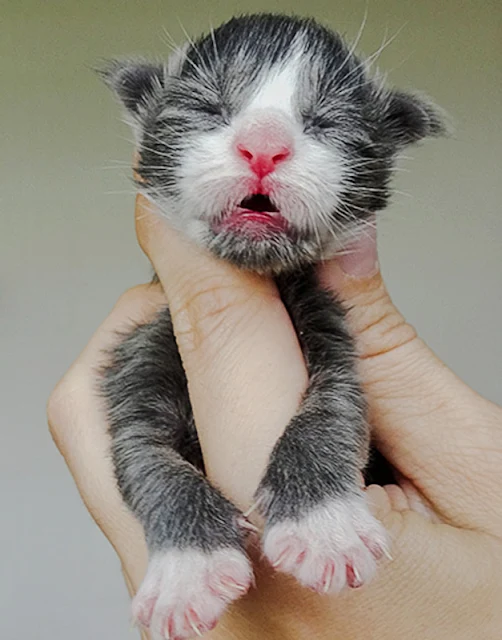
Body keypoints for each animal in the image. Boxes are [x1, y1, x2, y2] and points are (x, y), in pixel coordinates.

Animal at [99, 13, 444, 640]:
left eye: (325, 121)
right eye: (209, 107)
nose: (263, 147)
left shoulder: (337, 341)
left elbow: (330, 414)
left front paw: (323, 528)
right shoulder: (138, 357)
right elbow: (145, 458)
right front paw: (188, 570)